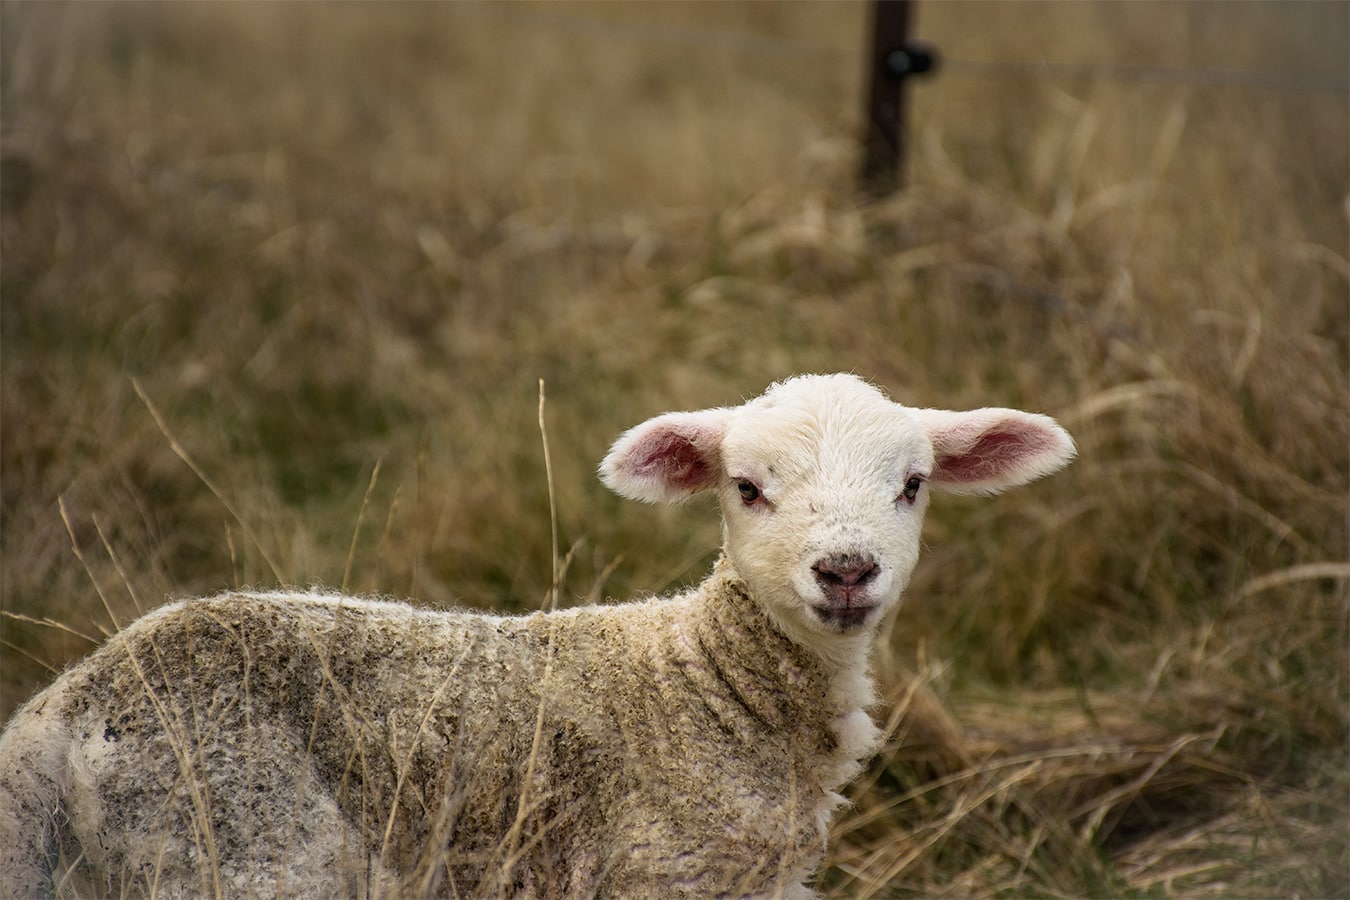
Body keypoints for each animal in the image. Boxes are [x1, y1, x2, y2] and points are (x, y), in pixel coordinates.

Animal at [0, 375, 1074, 900]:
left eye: (914, 485)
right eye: (747, 487)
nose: (846, 572)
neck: (704, 680)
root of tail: (63, 710)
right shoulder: (661, 875)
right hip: (239, 843)